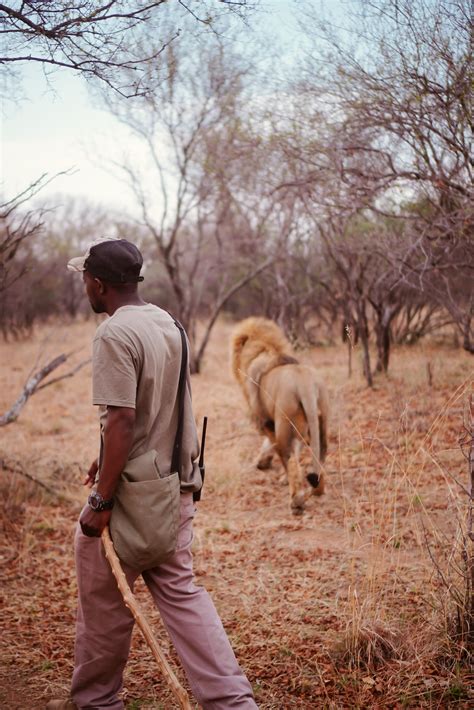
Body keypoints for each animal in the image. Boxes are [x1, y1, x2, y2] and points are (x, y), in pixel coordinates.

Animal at [231, 320, 330, 516]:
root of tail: (305, 384)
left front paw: (266, 464)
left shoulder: (264, 420)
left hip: (283, 422)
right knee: (321, 454)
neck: (265, 349)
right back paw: (315, 489)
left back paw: (296, 502)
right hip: (320, 419)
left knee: (289, 459)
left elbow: (272, 445)